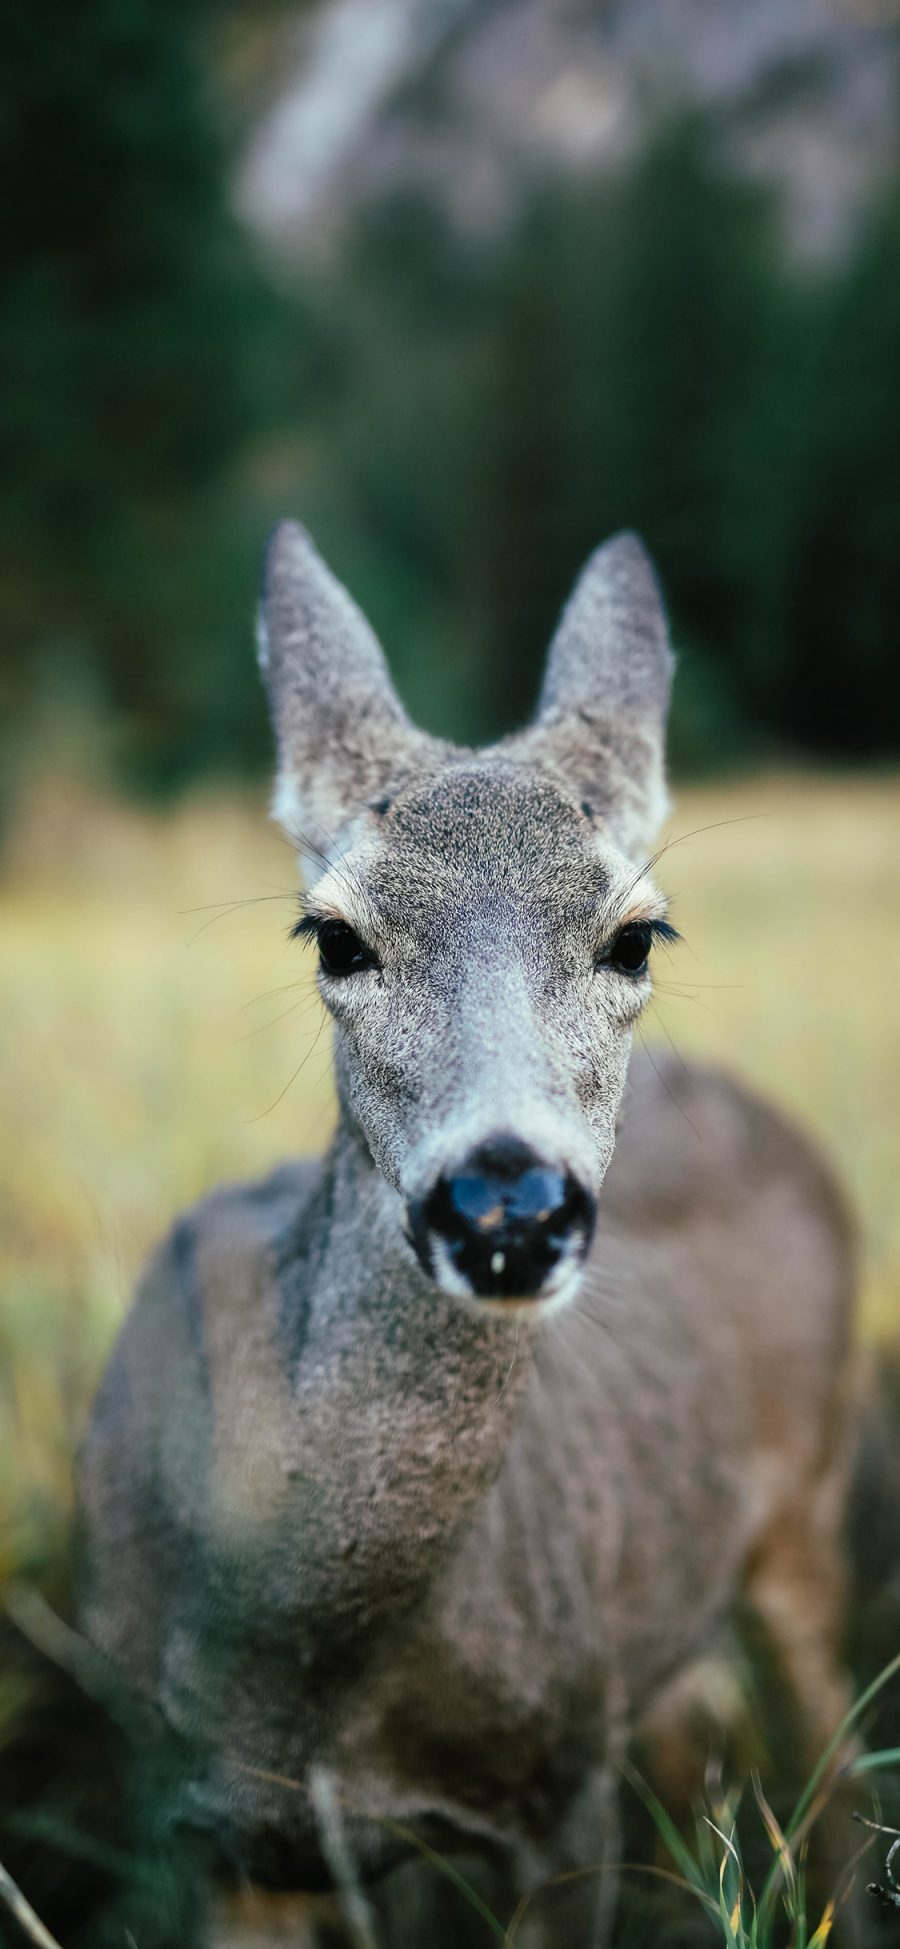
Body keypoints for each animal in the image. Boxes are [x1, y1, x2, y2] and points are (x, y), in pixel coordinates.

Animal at [78, 526, 857, 1941]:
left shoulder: (563, 1794)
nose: (507, 1200)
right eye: (334, 934)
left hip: (814, 1499)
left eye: (635, 934)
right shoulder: (207, 1832)